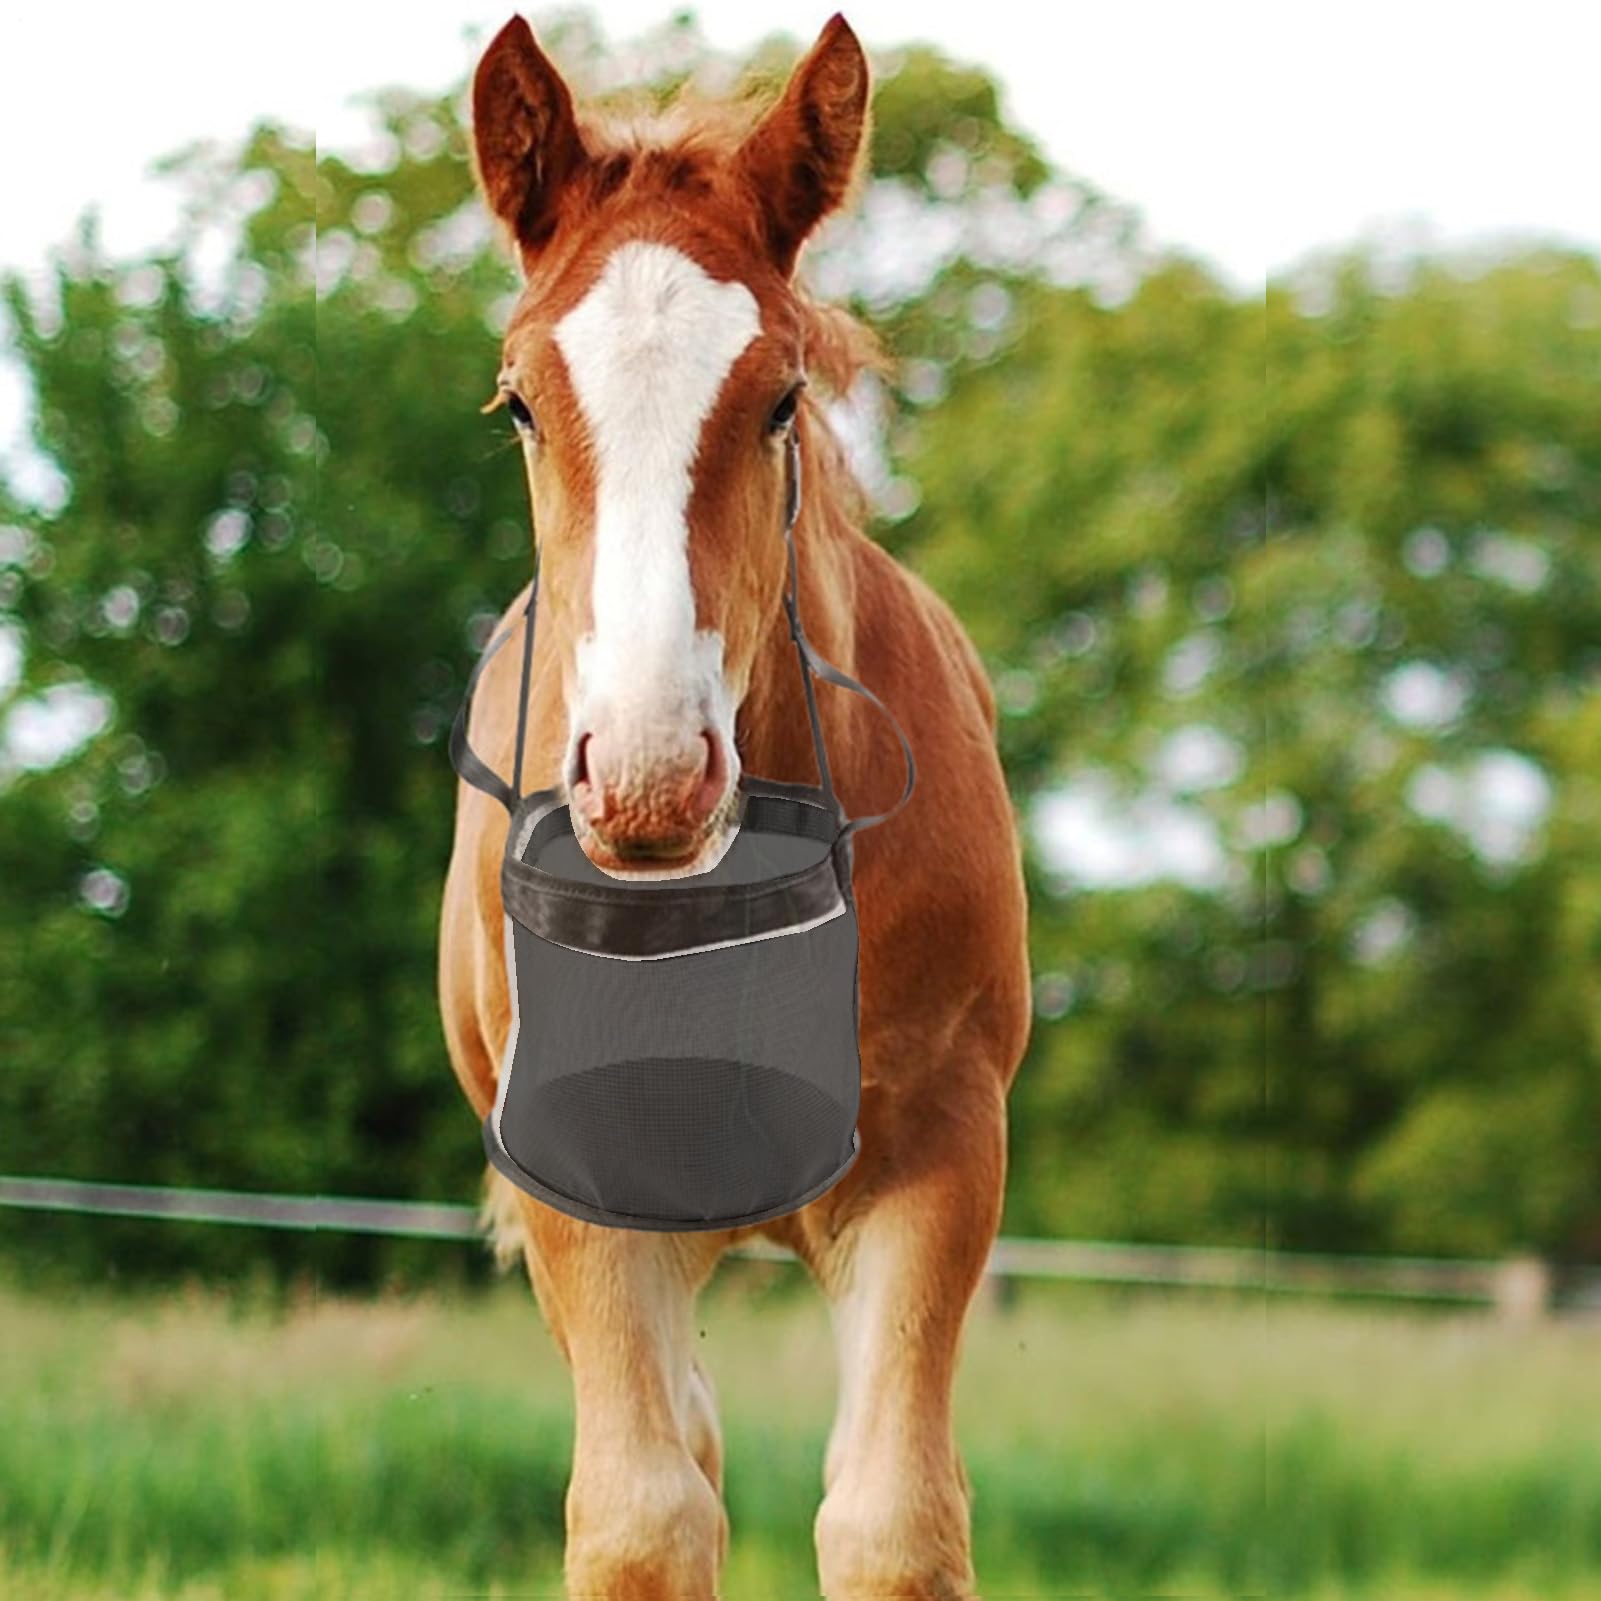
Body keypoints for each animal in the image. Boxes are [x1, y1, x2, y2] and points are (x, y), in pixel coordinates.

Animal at [437, 13, 1031, 1595]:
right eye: (519, 402)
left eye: (780, 396)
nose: (647, 775)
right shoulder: (575, 1185)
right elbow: (641, 1515)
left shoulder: (940, 1147)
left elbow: (894, 1517)